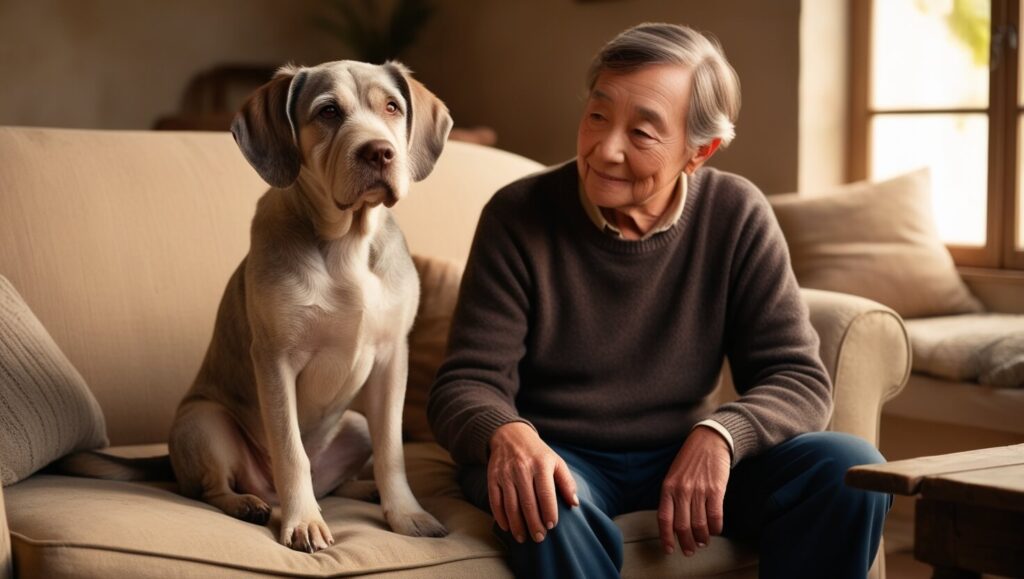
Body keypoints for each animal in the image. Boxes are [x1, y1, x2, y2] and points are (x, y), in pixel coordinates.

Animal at [57, 60, 452, 553]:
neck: (347, 244)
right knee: (210, 488)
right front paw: (303, 523)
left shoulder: (391, 359)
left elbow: (392, 451)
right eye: (328, 111)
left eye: (393, 107)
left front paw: (405, 513)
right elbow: (290, 451)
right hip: (204, 421)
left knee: (334, 481)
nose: (379, 152)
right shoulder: (275, 359)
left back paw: (363, 489)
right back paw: (248, 503)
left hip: (356, 422)